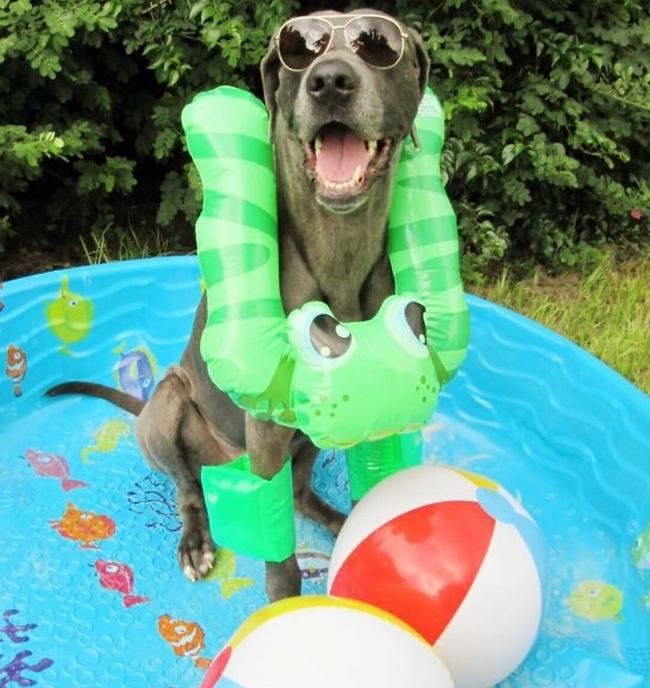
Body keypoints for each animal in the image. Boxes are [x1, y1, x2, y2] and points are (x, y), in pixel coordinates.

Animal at [48, 9, 428, 600]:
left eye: (380, 46)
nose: (330, 81)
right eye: (300, 51)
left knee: (298, 493)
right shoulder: (267, 421)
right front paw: (284, 604)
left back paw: (337, 519)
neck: (339, 246)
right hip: (168, 407)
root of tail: (234, 461)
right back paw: (196, 541)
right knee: (189, 488)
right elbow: (278, 552)